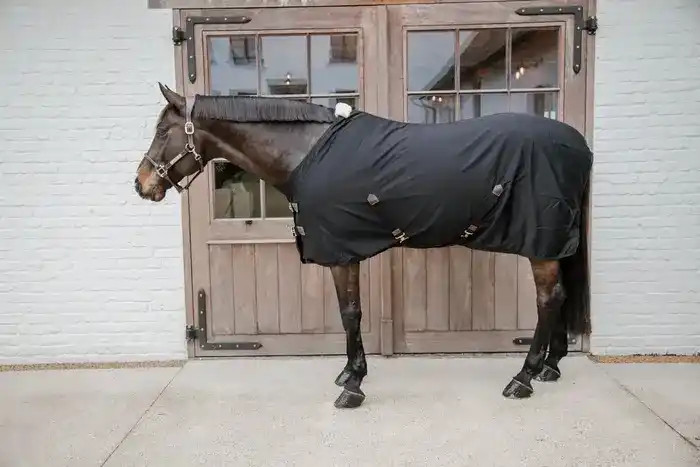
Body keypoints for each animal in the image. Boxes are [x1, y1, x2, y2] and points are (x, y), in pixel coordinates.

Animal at [135, 83, 592, 409]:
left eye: (162, 131)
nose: (141, 184)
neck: (305, 153)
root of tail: (578, 145)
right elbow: (349, 314)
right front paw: (347, 374)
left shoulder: (341, 252)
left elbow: (350, 313)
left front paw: (352, 384)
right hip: (556, 244)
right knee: (561, 296)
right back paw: (550, 367)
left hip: (540, 243)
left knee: (548, 299)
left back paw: (523, 378)